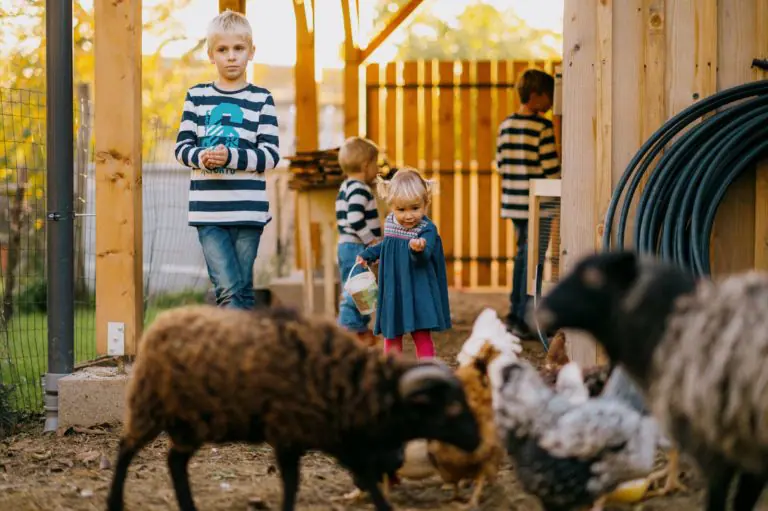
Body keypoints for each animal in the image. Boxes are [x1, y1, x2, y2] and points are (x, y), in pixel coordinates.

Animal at [106, 306, 480, 510]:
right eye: (449, 408)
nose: (476, 440)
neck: (352, 385)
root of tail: (160, 322)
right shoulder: (288, 434)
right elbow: (292, 484)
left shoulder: (340, 438)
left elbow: (369, 482)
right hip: (149, 406)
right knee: (125, 449)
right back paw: (114, 501)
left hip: (192, 422)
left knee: (175, 462)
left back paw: (188, 506)